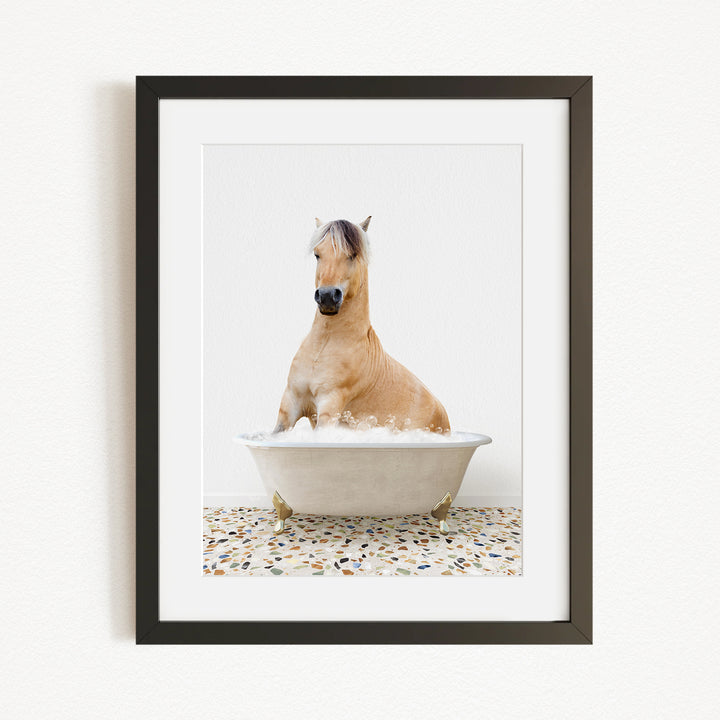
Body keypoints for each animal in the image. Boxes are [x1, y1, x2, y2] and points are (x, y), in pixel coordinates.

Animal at [273, 217, 450, 434]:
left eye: (352, 255)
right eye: (317, 254)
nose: (327, 296)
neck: (323, 346)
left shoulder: (329, 406)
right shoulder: (290, 403)